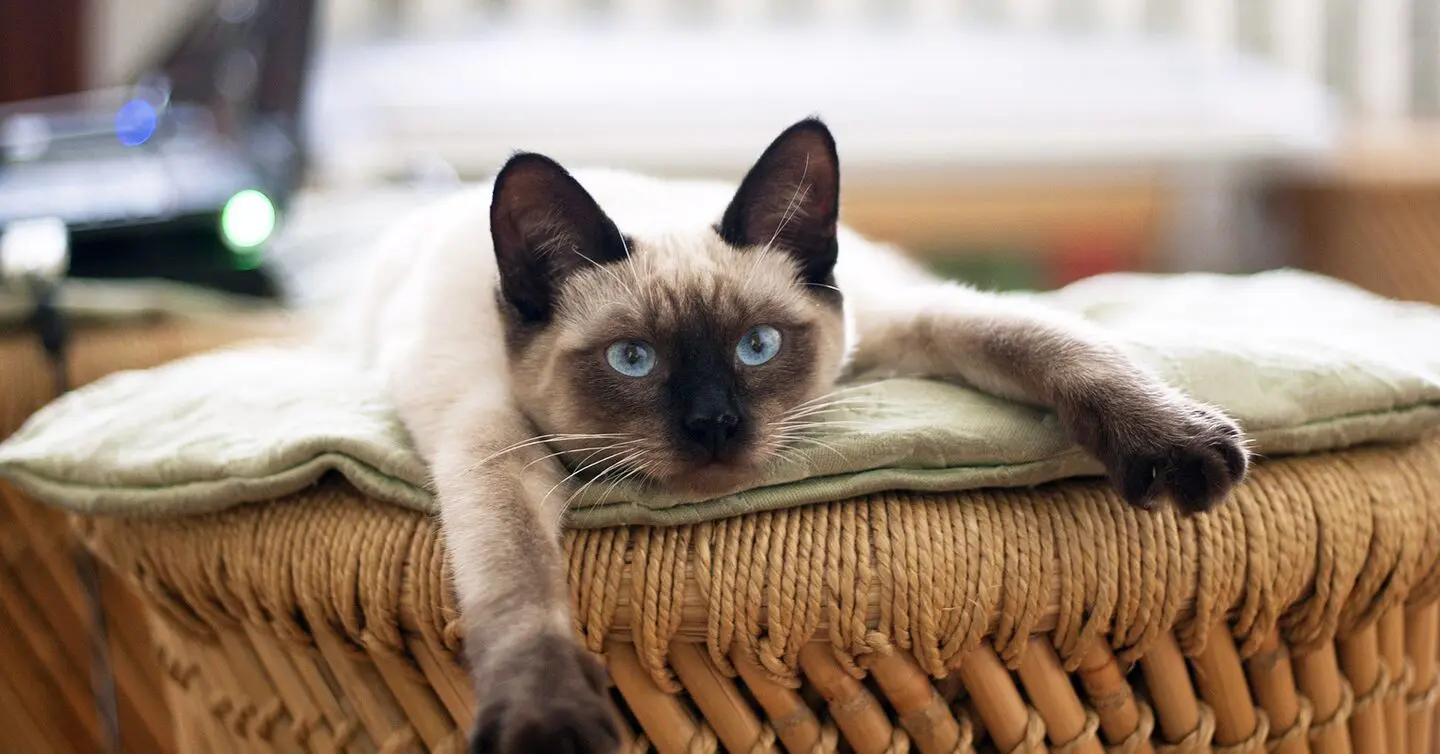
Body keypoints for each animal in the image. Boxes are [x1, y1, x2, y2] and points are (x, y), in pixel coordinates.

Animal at [345, 119, 1249, 754]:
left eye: (758, 346)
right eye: (634, 360)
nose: (714, 423)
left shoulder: (904, 327)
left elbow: (1047, 342)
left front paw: (1179, 443)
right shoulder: (492, 446)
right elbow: (517, 579)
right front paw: (546, 721)